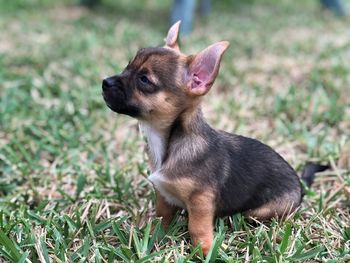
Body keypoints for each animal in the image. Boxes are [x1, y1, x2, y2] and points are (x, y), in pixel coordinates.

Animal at [101, 21, 300, 256]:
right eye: (127, 66)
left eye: (144, 79)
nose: (105, 82)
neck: (168, 142)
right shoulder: (163, 195)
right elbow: (162, 217)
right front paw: (156, 236)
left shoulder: (201, 201)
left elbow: (197, 228)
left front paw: (205, 251)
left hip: (261, 211)